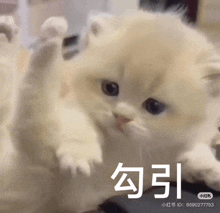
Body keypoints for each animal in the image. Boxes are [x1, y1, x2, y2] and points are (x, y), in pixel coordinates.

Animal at [57, 10, 220, 212]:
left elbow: (196, 154)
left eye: (154, 106)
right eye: (110, 88)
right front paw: (79, 156)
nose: (121, 117)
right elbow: (78, 121)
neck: (126, 147)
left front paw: (213, 172)